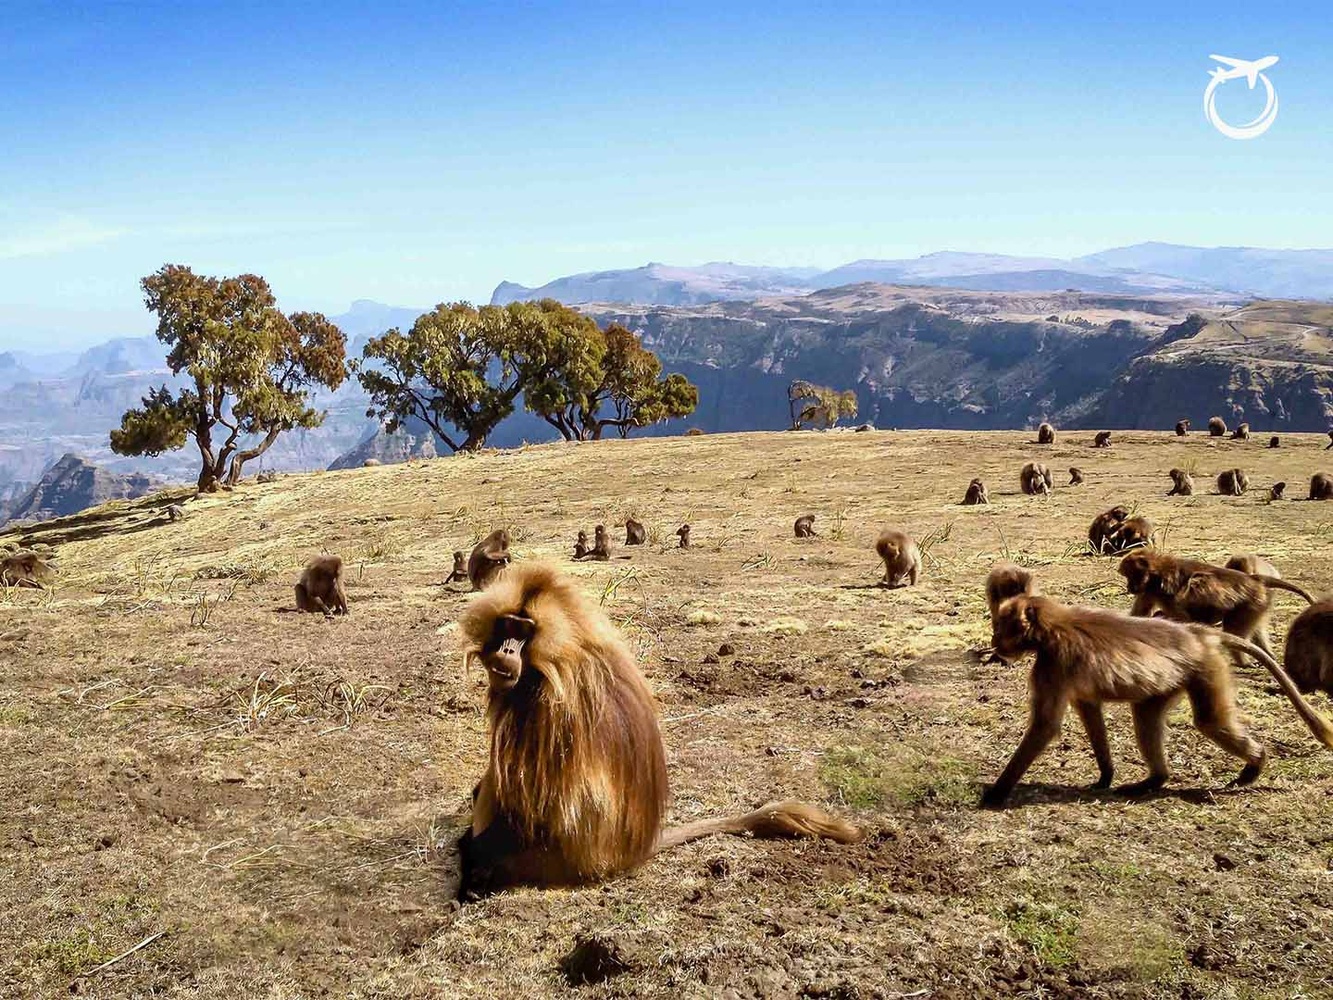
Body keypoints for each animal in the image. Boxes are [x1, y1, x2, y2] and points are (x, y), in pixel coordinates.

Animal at [455, 563, 861, 898]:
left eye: (526, 631)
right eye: (508, 625)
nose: (508, 651)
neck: (559, 653)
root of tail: (630, 852)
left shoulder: (547, 705)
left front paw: (473, 862)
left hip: (553, 862)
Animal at [980, 594, 1333, 806]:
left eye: (1001, 626)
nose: (995, 641)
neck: (1051, 626)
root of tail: (1197, 633)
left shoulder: (1053, 664)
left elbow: (1045, 726)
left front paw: (997, 791)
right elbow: (1090, 710)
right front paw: (1105, 775)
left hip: (1205, 668)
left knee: (1209, 720)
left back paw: (1256, 762)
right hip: (1174, 679)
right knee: (1146, 713)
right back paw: (1155, 779)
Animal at [1118, 549, 1315, 657]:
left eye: (1130, 575)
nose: (1129, 587)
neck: (1155, 571)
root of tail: (1254, 579)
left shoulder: (1162, 592)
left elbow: (1182, 616)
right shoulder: (1148, 591)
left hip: (1251, 601)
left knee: (1200, 584)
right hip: (1259, 602)